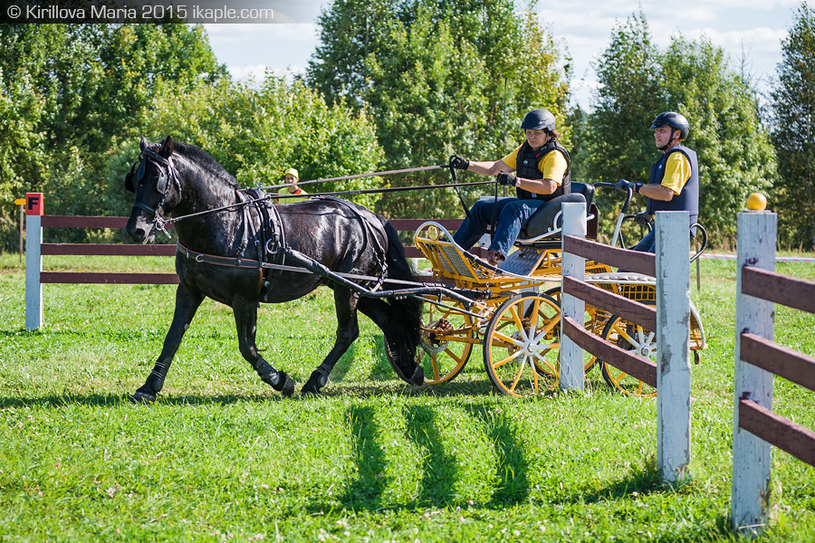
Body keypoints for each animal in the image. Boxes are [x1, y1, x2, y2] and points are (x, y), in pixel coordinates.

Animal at [126, 136, 428, 402]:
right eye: (135, 180)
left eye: (158, 180)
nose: (136, 230)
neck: (226, 220)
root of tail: (370, 216)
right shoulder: (189, 290)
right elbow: (173, 337)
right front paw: (148, 387)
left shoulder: (245, 299)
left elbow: (247, 347)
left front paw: (281, 381)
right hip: (353, 287)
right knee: (387, 319)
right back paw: (409, 368)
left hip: (347, 290)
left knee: (348, 332)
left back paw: (315, 380)